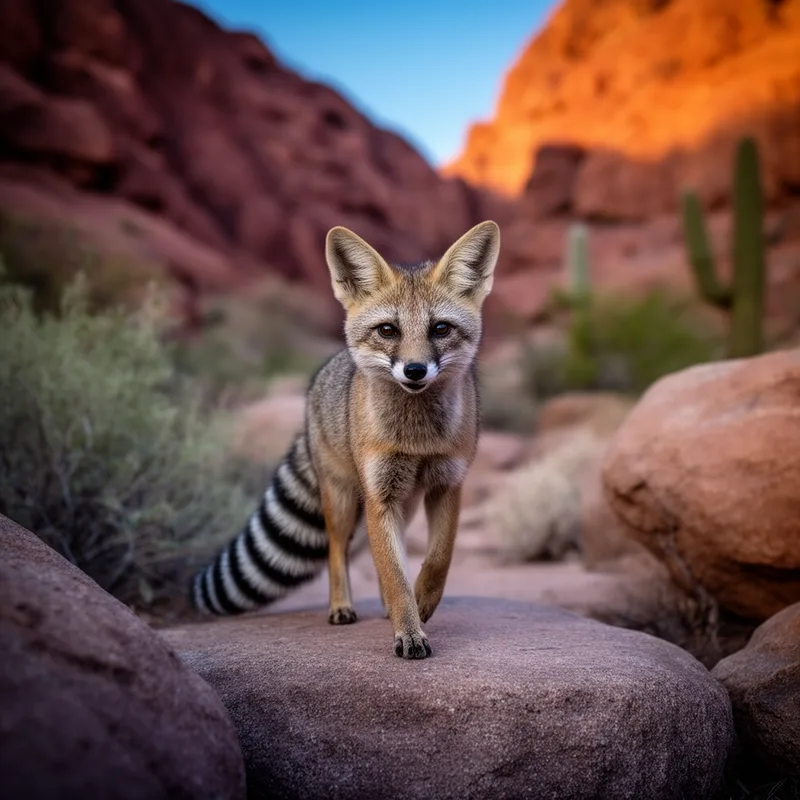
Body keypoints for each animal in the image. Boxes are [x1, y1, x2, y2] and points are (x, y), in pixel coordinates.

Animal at [192, 220, 501, 659]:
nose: (415, 370)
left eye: (440, 328)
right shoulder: (379, 496)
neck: (417, 438)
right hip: (343, 502)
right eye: (388, 330)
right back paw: (342, 606)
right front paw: (408, 630)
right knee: (337, 551)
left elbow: (437, 559)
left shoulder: (447, 484)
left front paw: (422, 600)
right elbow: (393, 572)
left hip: (401, 503)